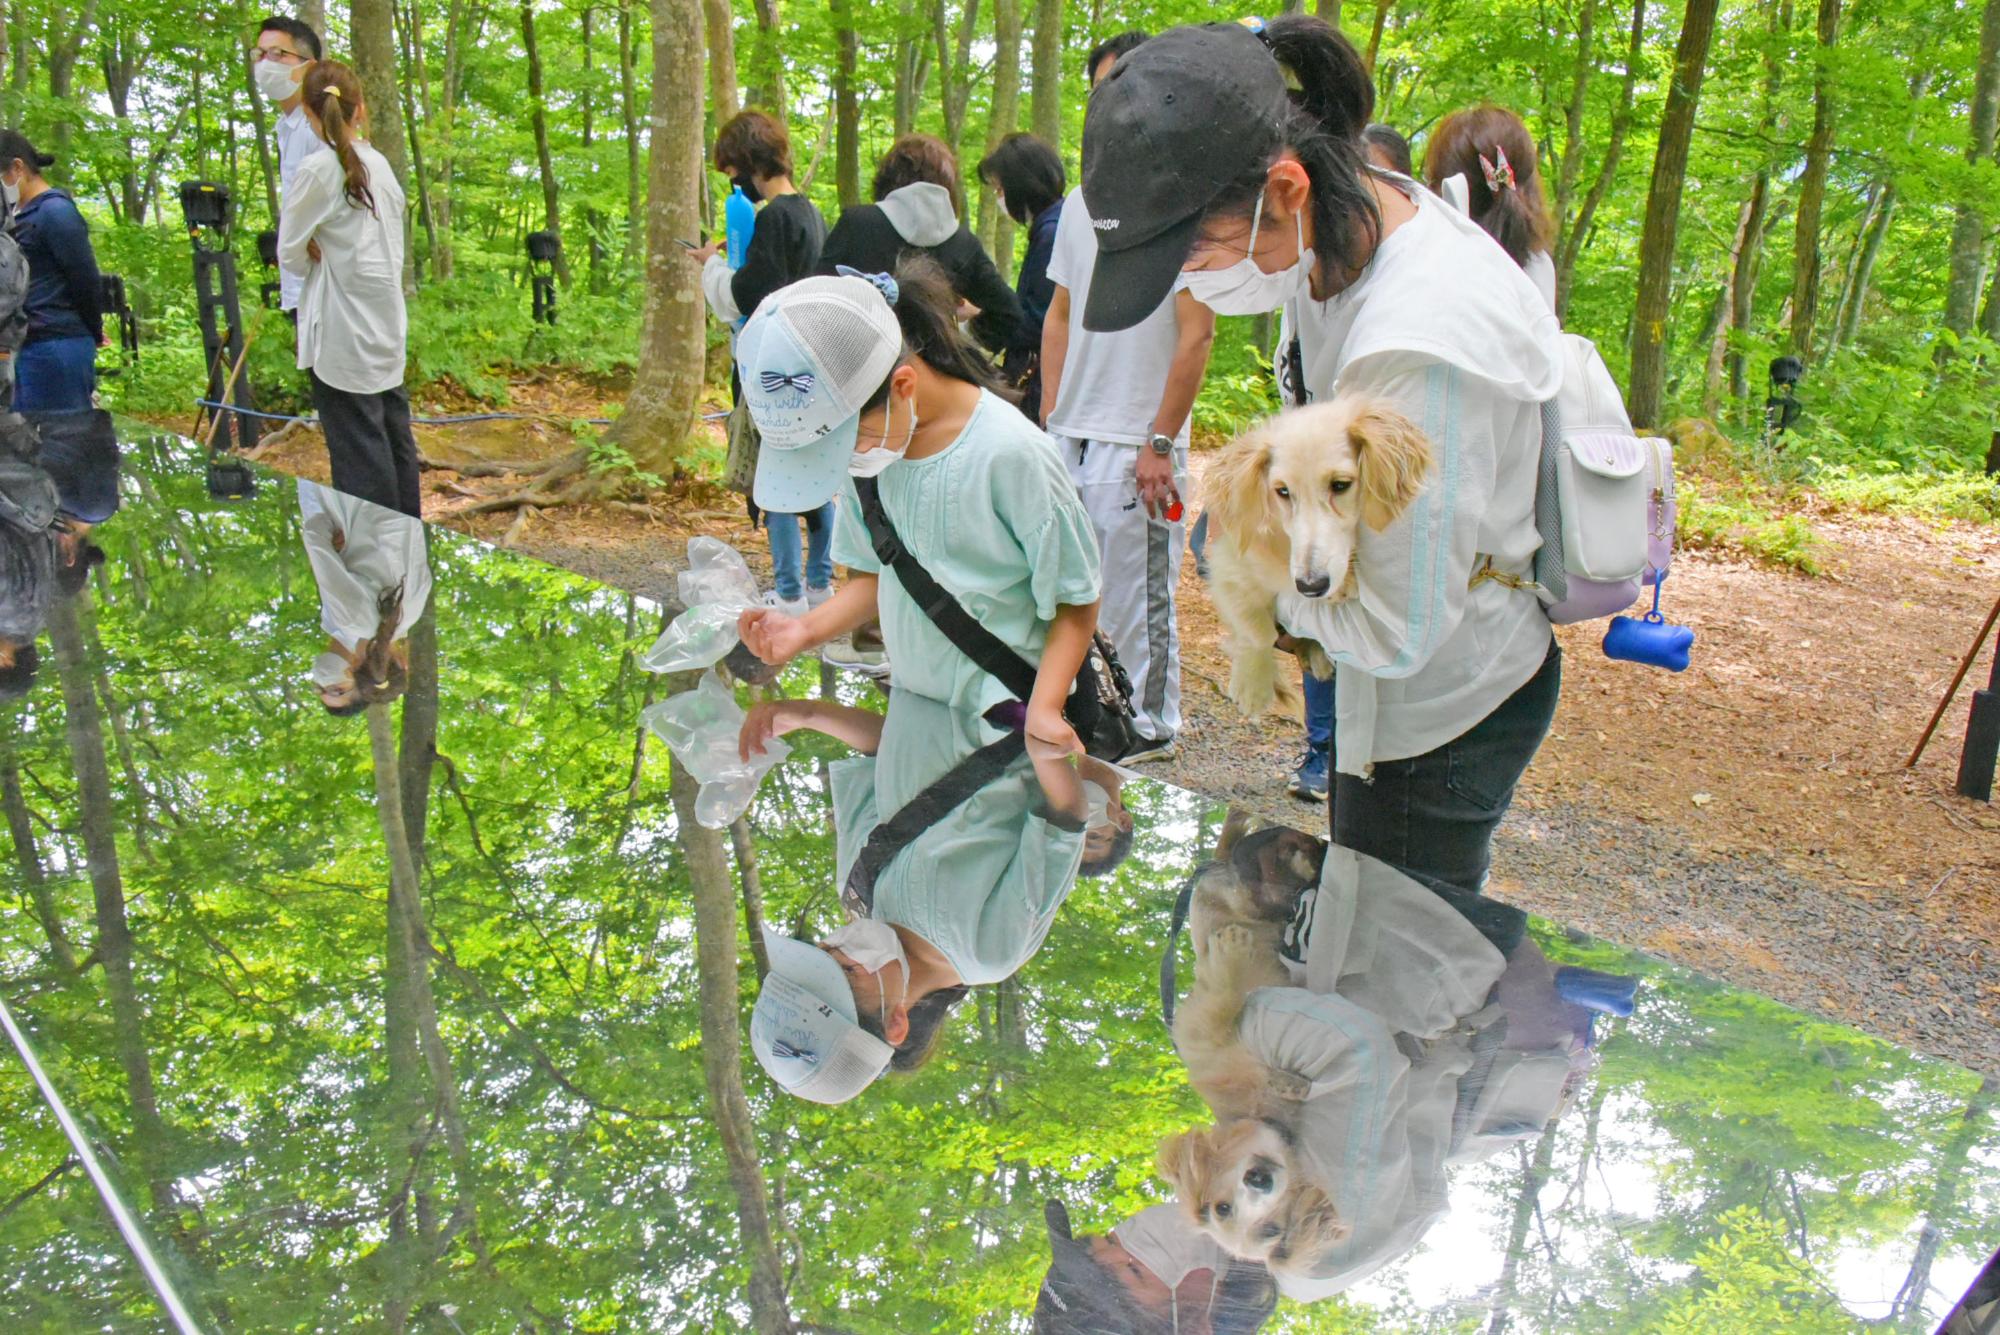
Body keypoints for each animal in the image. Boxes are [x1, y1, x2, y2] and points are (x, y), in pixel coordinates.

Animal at [1192, 395, 1432, 719]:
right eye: (1282, 491)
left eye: (1341, 485)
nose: (1310, 586)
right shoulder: (1227, 567)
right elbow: (1257, 631)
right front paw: (1253, 687)